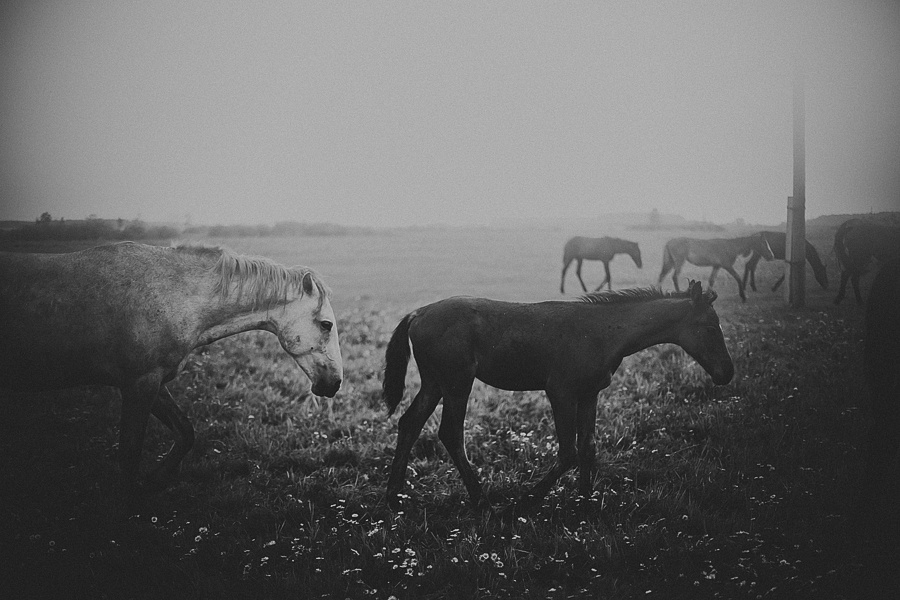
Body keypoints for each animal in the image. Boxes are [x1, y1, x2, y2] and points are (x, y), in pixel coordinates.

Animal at [0, 241, 342, 494]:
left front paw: (156, 479)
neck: (173, 296)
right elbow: (129, 455)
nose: (335, 382)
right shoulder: (139, 385)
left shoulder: (153, 382)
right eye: (326, 324)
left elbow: (186, 433)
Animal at [382, 281, 733, 512]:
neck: (602, 332)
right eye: (709, 326)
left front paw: (586, 503)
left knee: (409, 423)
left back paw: (393, 495)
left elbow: (588, 447)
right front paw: (527, 500)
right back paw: (482, 502)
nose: (727, 373)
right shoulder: (561, 392)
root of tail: (418, 313)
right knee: (450, 433)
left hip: (435, 383)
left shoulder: (589, 393)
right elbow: (568, 453)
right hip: (457, 383)